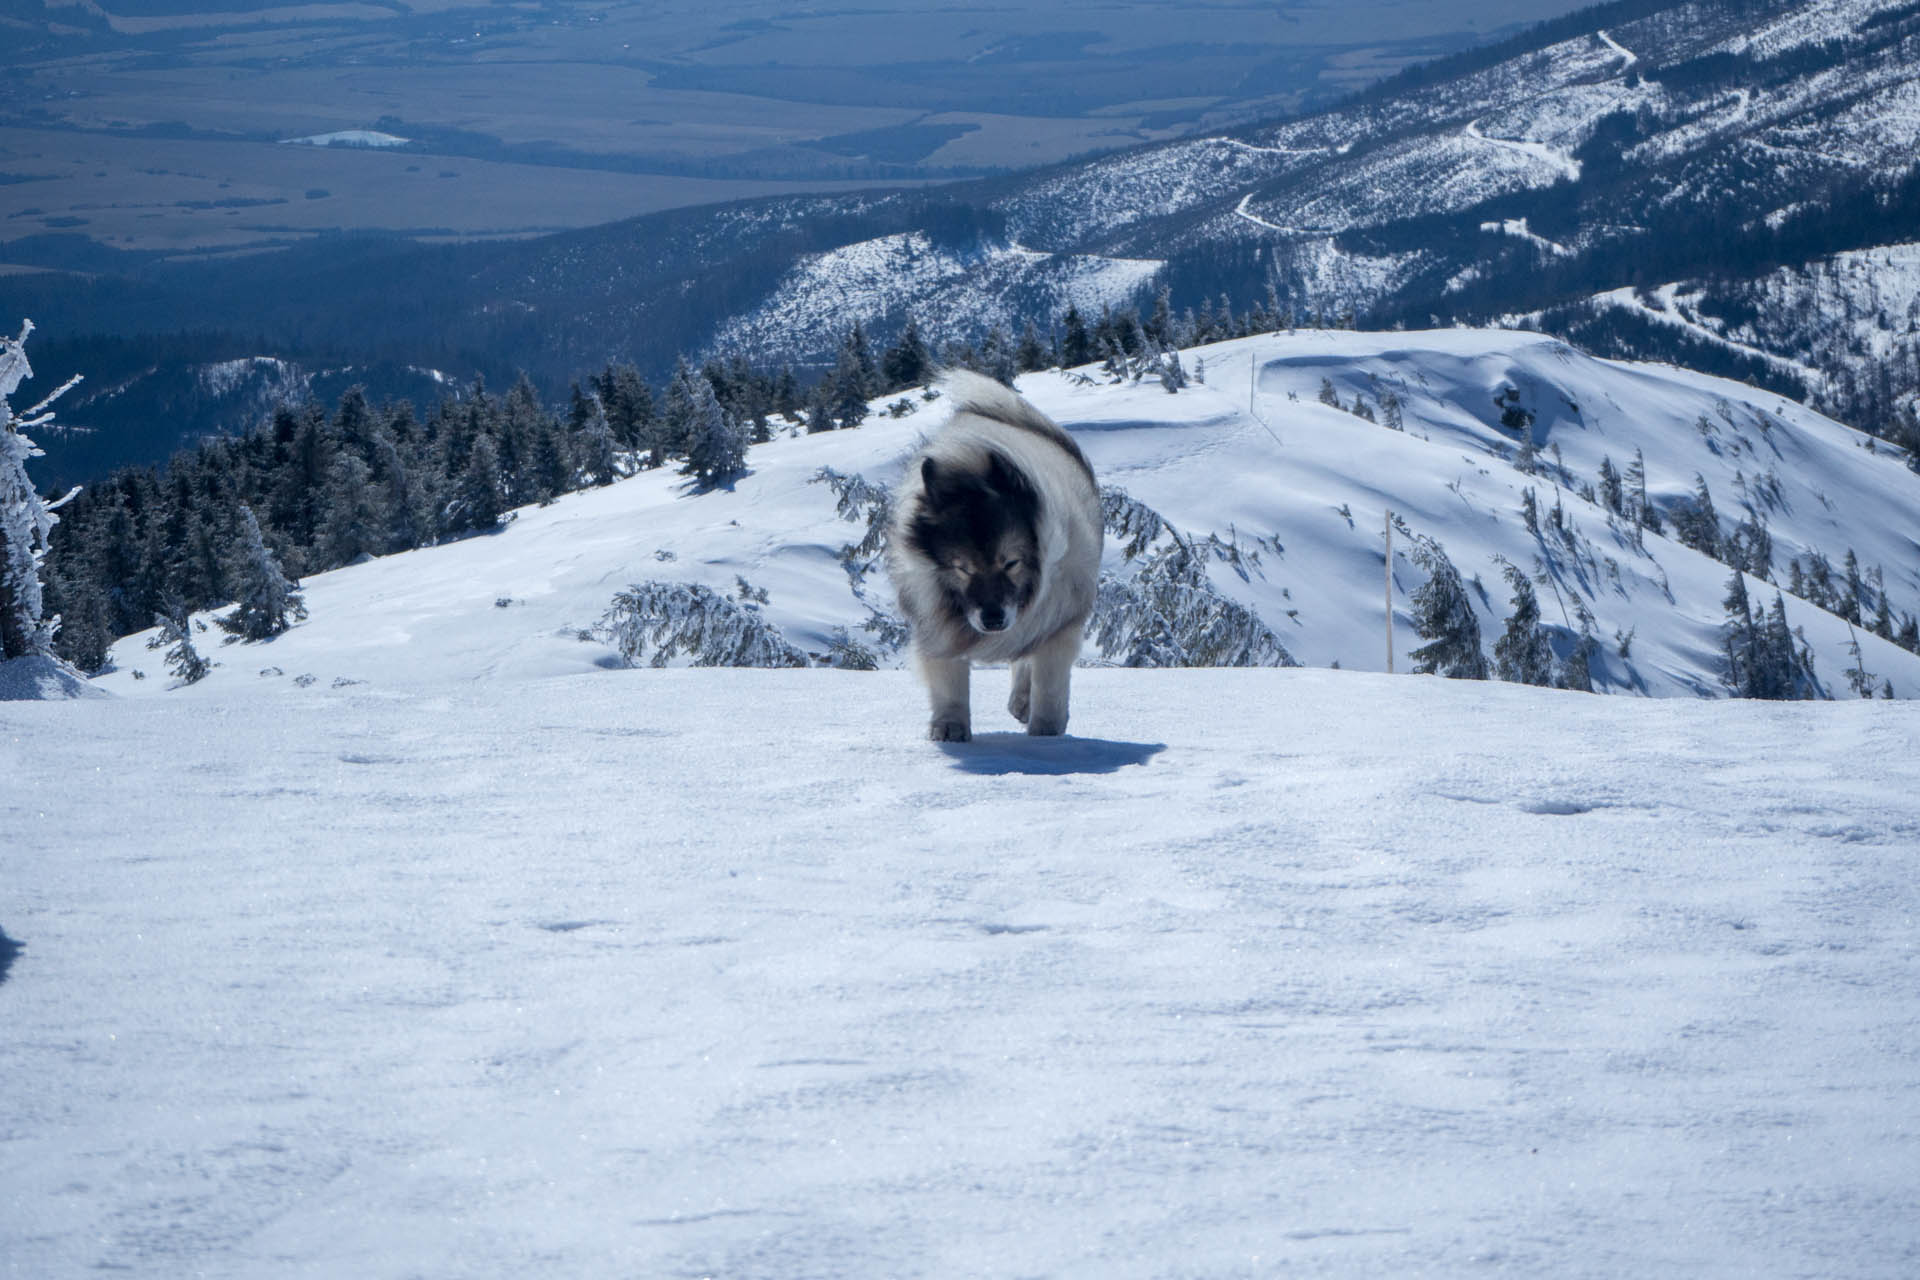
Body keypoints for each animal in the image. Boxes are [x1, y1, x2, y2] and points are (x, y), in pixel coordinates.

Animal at [887, 370, 1105, 740]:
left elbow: (1048, 683)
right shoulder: (939, 625)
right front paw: (950, 727)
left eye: (1011, 562)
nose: (992, 619)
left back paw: (1023, 704)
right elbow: (949, 683)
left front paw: (1046, 735)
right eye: (962, 568)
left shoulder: (1057, 623)